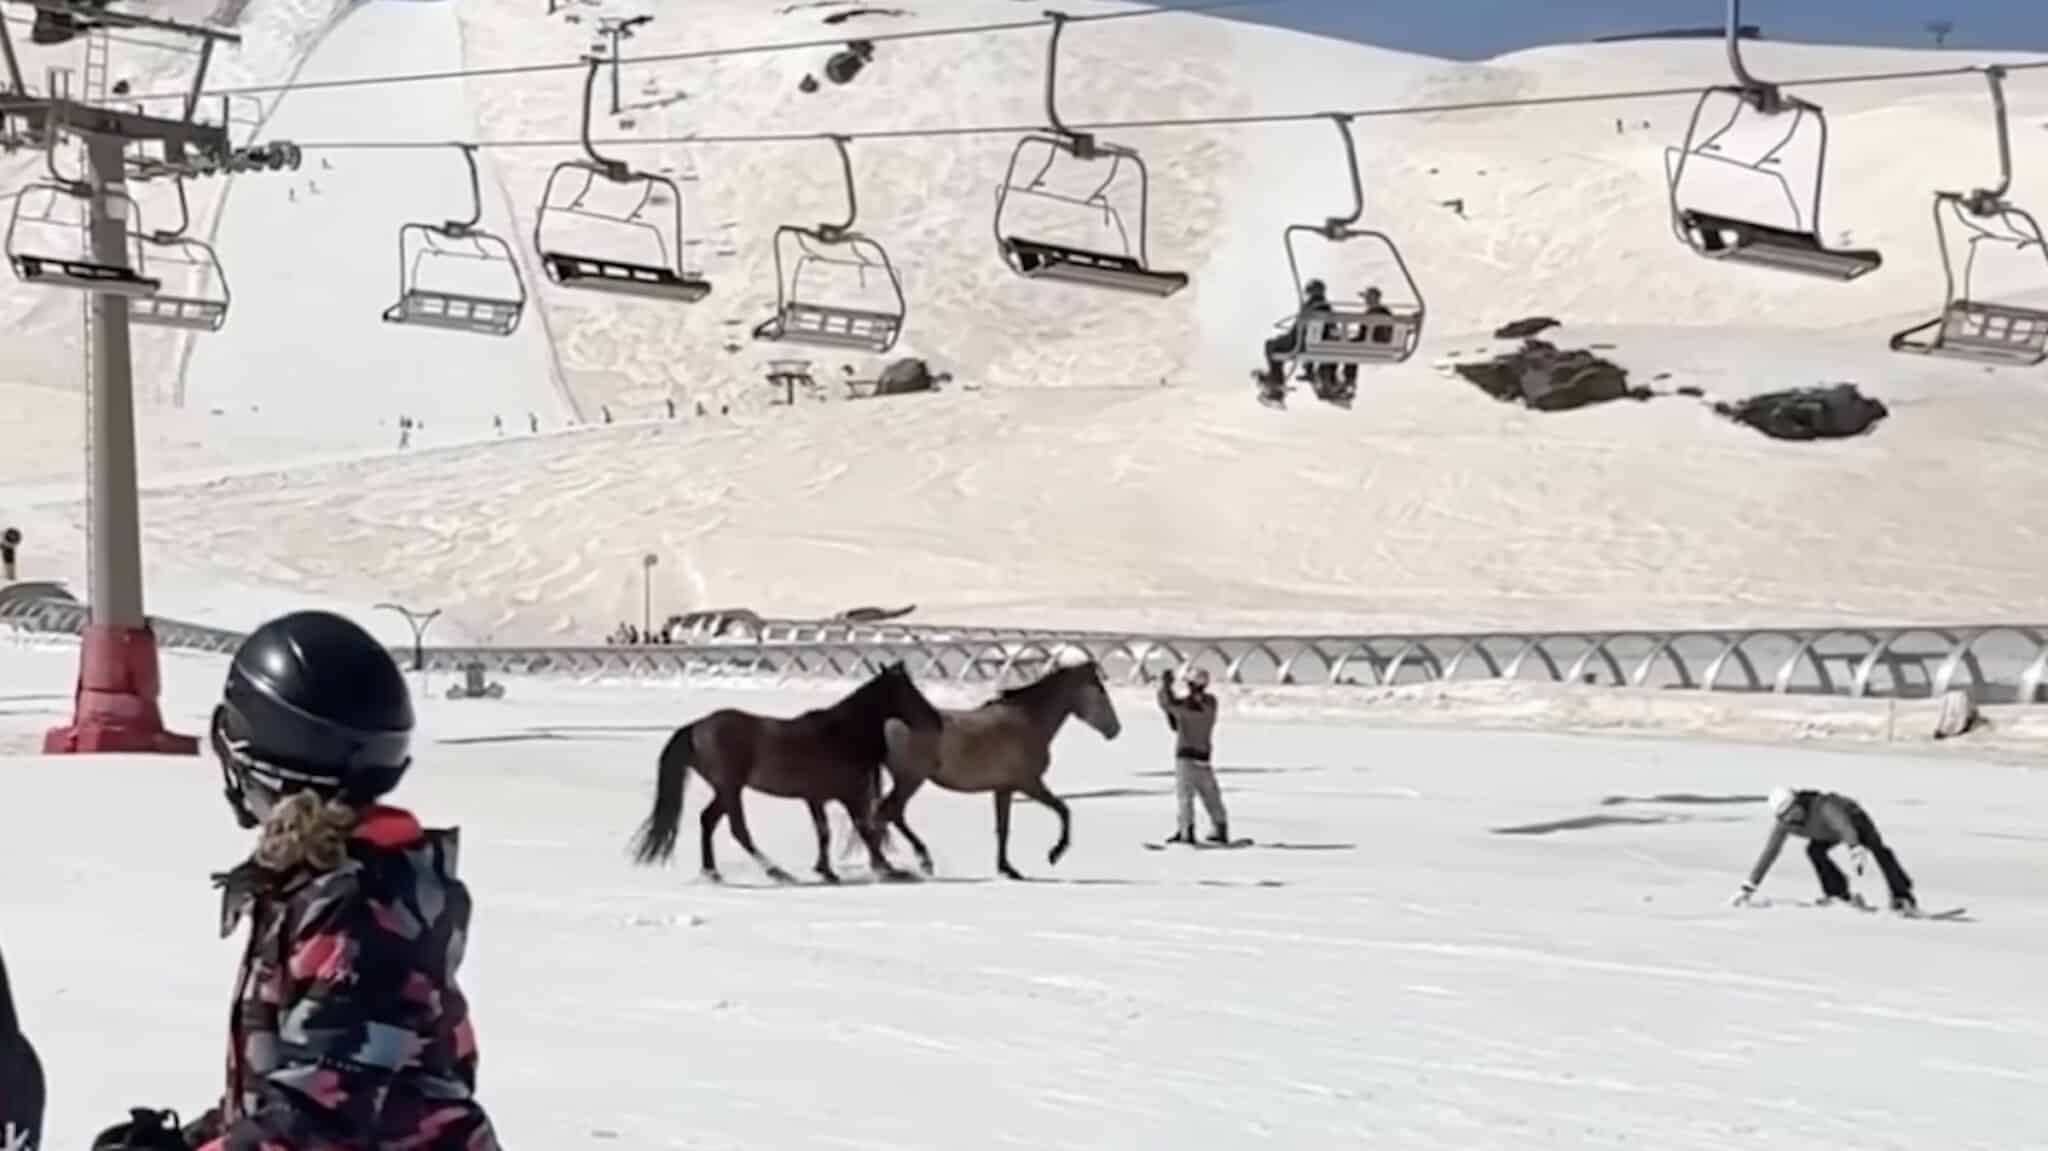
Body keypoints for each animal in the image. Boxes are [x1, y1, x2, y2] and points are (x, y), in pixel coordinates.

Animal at [629, 660, 943, 884]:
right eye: (909, 691)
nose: (937, 721)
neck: (840, 734)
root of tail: (696, 727)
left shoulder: (817, 798)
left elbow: (825, 833)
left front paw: (827, 871)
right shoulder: (849, 795)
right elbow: (863, 830)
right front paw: (890, 869)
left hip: (725, 789)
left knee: (708, 820)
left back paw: (713, 873)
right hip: (730, 787)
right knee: (738, 830)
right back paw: (776, 872)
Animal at [874, 659, 1122, 880]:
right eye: (1101, 691)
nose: (1115, 730)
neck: (1027, 720)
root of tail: (889, 722)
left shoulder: (1004, 788)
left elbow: (1003, 829)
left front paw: (1008, 869)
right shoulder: (1029, 784)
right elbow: (1063, 810)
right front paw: (1055, 853)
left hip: (907, 781)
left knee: (888, 814)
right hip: (910, 780)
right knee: (889, 813)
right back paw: (910, 863)